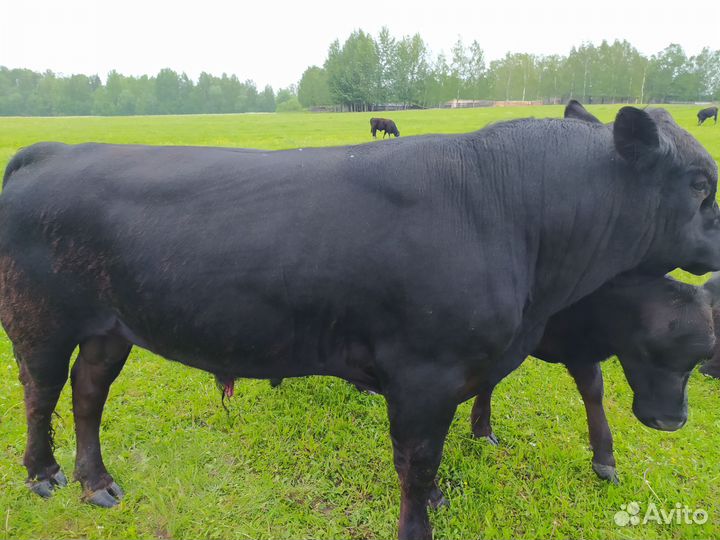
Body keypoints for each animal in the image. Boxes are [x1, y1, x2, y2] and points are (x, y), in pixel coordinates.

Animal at [470, 275, 717, 485]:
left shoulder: (580, 353)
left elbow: (594, 391)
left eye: (703, 357)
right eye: (646, 349)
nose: (670, 421)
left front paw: (605, 460)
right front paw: (482, 429)